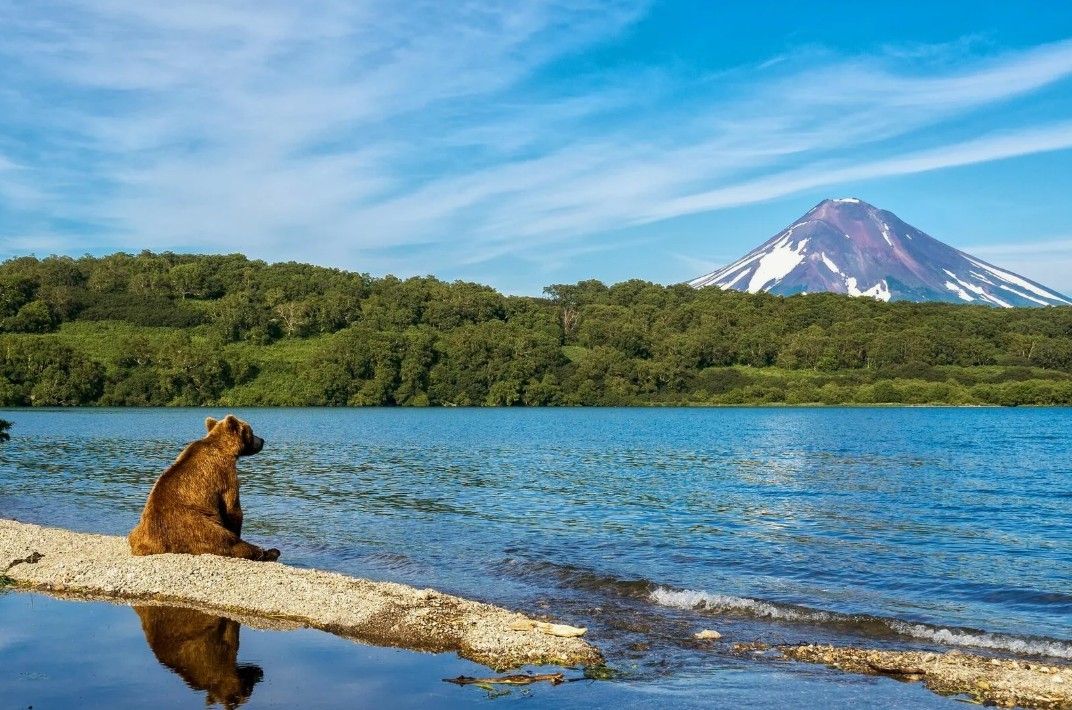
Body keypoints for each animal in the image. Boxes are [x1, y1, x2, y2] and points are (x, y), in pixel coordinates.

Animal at [128, 418, 280, 561]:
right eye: (251, 432)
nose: (262, 440)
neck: (224, 447)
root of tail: (150, 545)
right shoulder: (225, 473)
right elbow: (232, 508)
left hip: (139, 529)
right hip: (195, 526)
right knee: (226, 542)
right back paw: (270, 552)